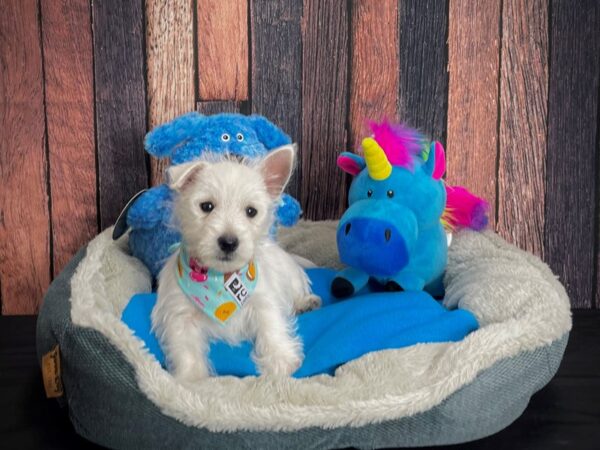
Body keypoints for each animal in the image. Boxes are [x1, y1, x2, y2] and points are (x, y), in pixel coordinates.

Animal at [151, 146, 318, 382]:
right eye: (206, 206)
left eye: (251, 211)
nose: (229, 242)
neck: (220, 279)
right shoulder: (179, 315)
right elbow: (185, 348)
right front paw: (191, 377)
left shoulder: (263, 300)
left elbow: (271, 324)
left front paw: (280, 359)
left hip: (293, 278)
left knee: (298, 292)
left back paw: (307, 303)